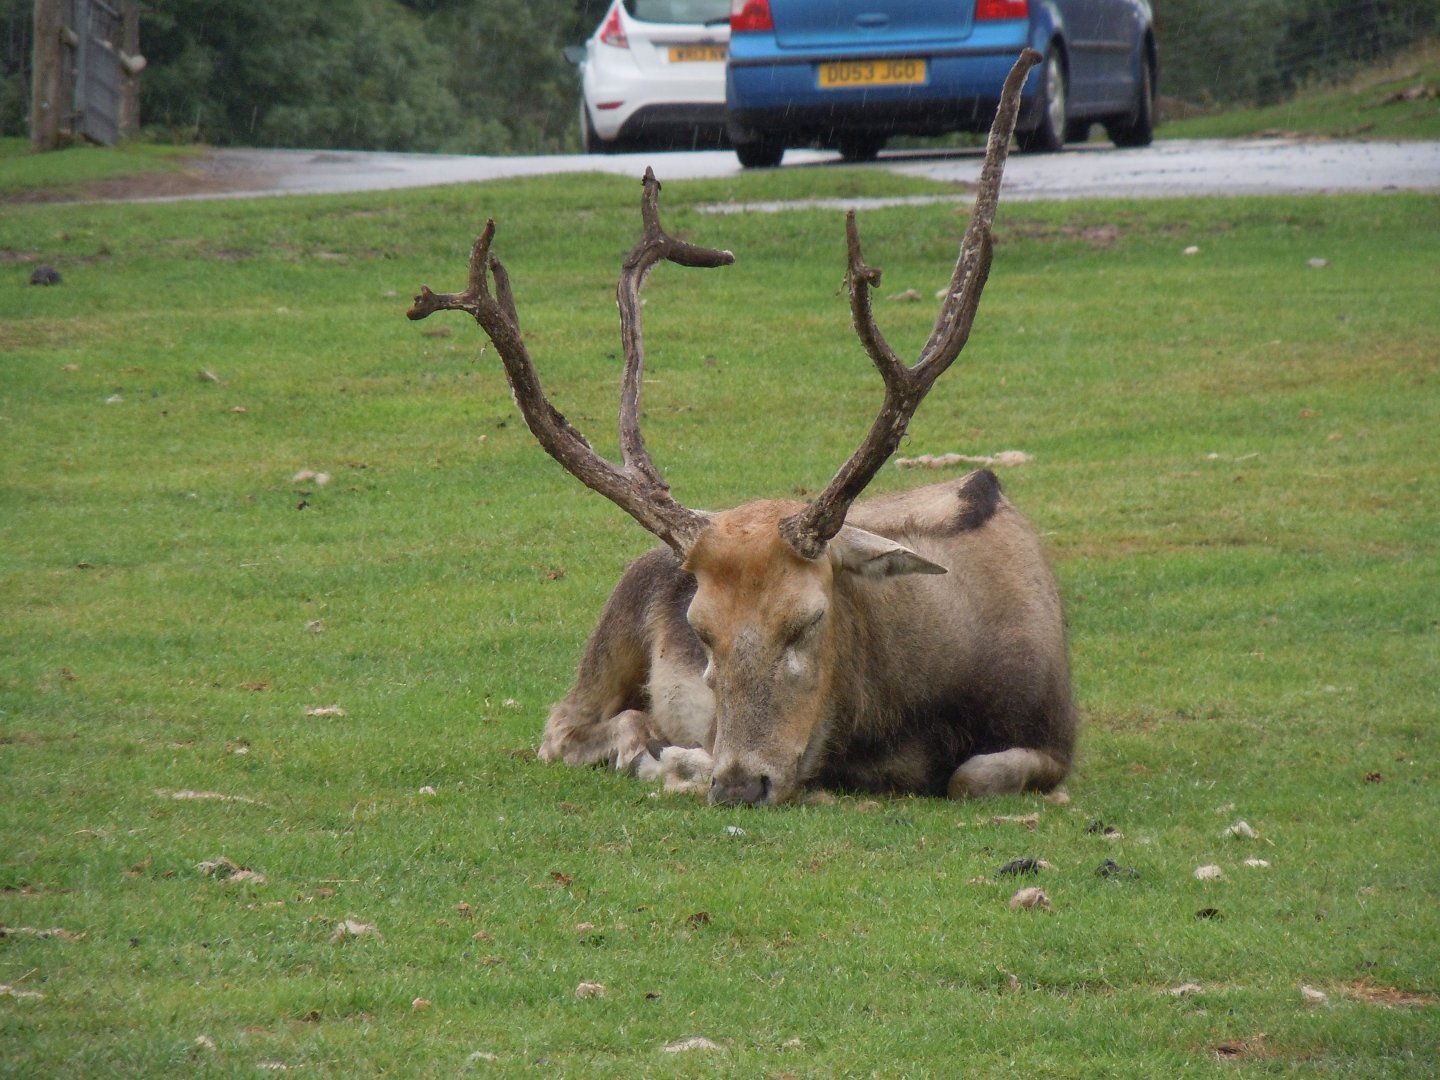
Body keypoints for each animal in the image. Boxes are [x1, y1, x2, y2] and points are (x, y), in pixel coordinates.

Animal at [407, 49, 1075, 806]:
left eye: (808, 620)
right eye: (700, 631)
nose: (739, 783)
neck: (908, 721)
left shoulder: (1056, 732)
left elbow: (974, 775)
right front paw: (680, 761)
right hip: (610, 629)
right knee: (565, 727)